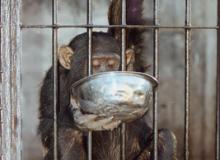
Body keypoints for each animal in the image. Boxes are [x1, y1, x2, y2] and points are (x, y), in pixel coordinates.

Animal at [38, 0, 177, 160]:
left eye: (111, 64)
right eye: (95, 64)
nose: (106, 74)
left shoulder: (130, 59)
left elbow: (127, 17)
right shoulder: (52, 81)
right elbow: (48, 122)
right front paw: (77, 119)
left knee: (165, 137)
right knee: (67, 135)